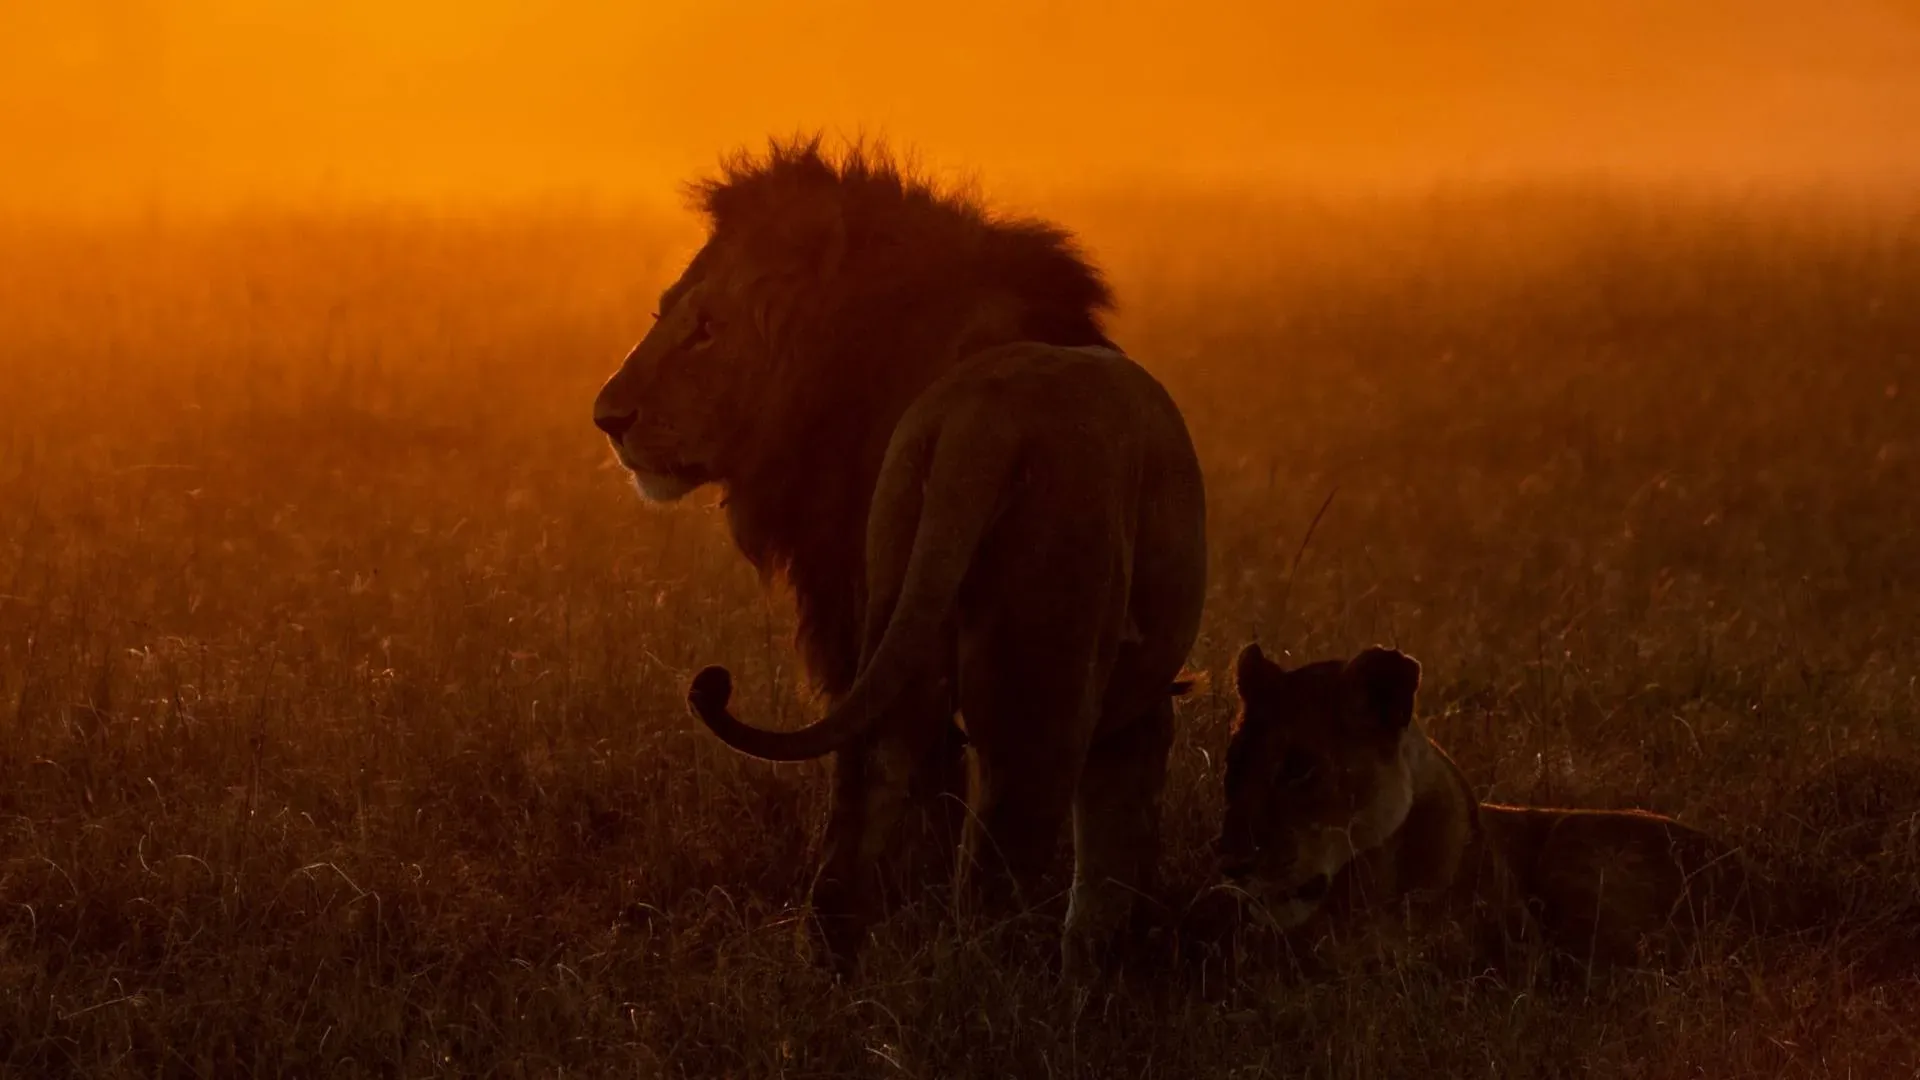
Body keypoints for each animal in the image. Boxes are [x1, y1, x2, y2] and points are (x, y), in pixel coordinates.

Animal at [591, 137, 1208, 979]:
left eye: (706, 327)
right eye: (665, 312)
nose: (608, 417)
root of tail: (987, 422)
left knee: (897, 789)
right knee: (1000, 827)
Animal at [1213, 643, 1762, 976]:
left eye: (1299, 769)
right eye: (1234, 762)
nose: (1233, 863)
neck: (1367, 877)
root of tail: (1756, 879)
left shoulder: (1511, 956)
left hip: (1575, 849)